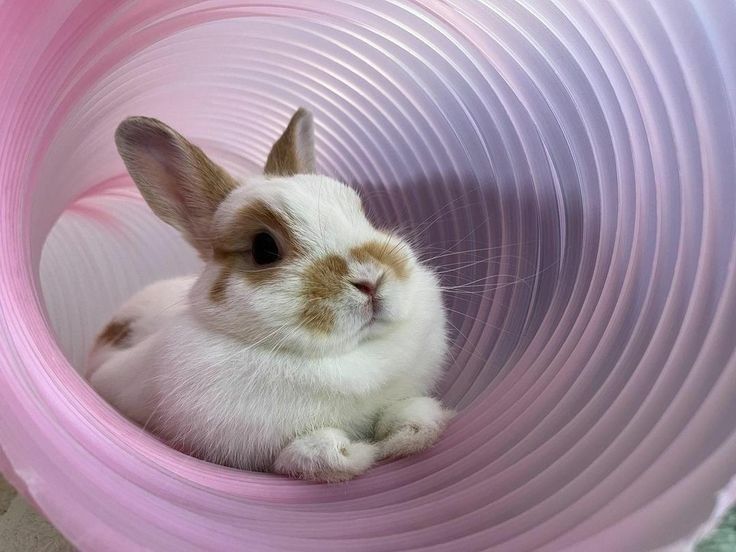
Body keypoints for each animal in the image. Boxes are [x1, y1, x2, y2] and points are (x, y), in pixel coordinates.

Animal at [86, 108, 452, 482]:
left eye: (362, 214)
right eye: (264, 248)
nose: (371, 280)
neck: (349, 356)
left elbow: (407, 414)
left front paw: (415, 427)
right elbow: (310, 455)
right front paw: (352, 452)